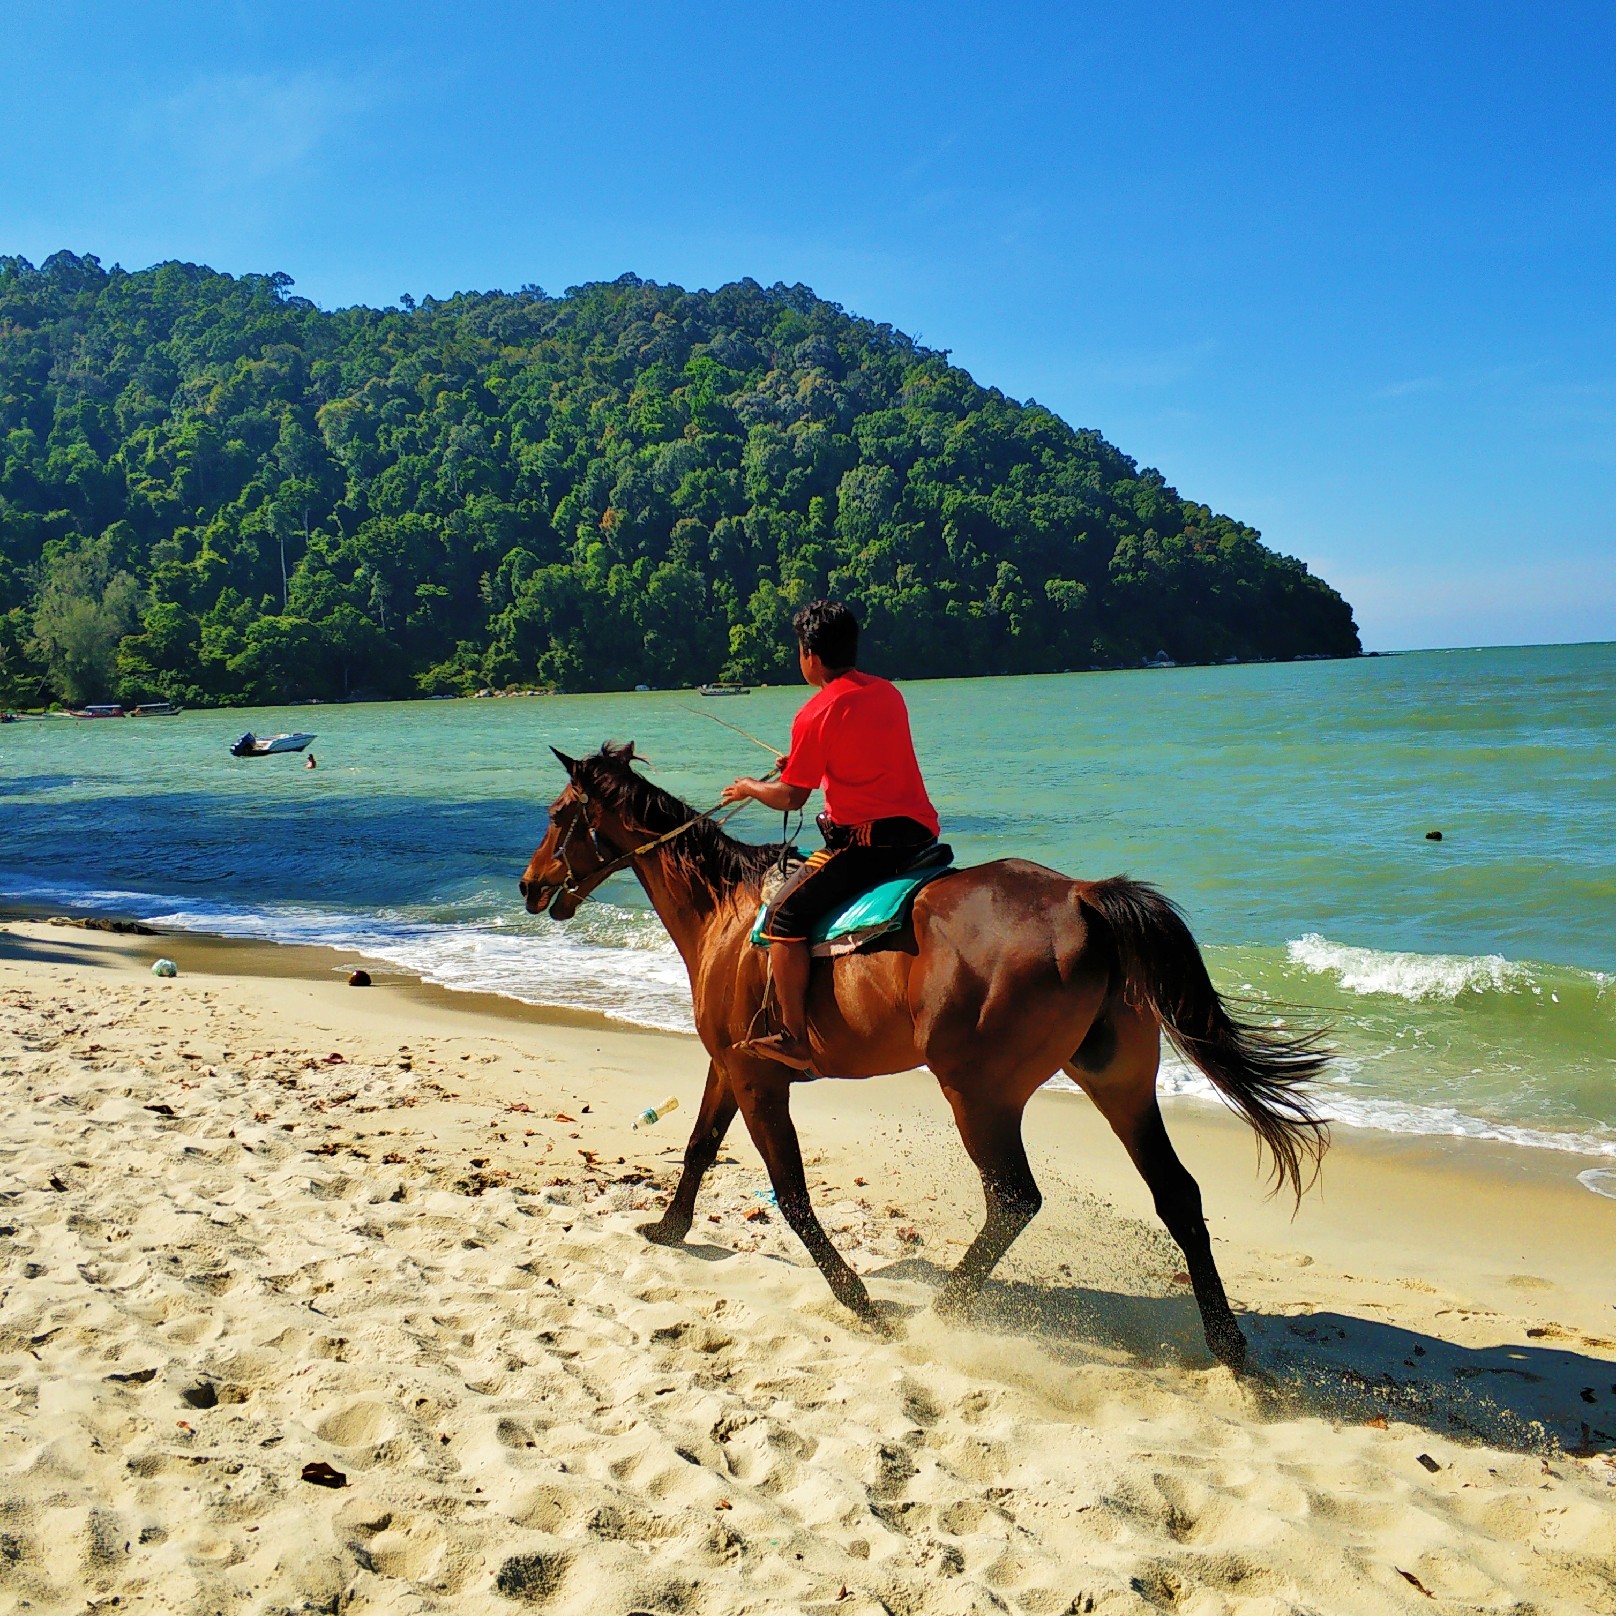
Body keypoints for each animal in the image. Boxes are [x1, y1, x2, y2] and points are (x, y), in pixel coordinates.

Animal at [517, 740, 1325, 1363]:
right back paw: (1228, 1345)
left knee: (1014, 1201)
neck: (727, 909)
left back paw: (949, 1309)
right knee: (1177, 1194)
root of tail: (1081, 898)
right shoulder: (732, 1065)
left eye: (557, 817)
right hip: (1119, 1083)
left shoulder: (757, 1078)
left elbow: (792, 1192)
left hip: (979, 1092)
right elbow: (698, 1148)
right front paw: (670, 1227)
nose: (528, 886)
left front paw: (856, 1296)